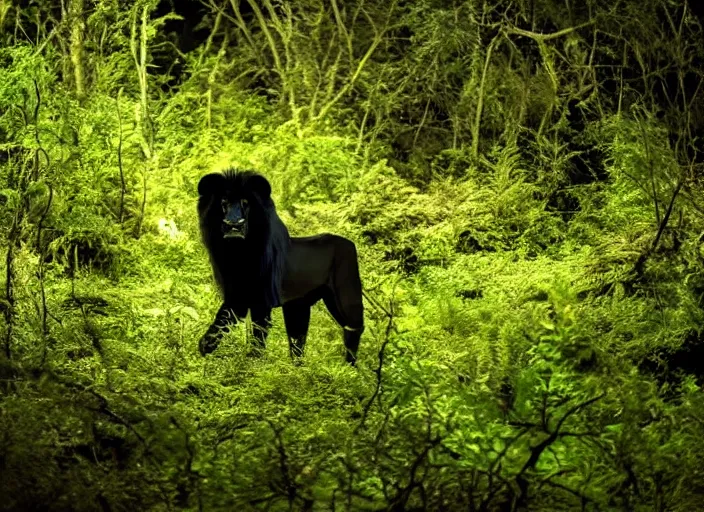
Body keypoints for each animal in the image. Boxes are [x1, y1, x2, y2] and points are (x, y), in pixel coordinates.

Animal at [197, 171, 364, 364]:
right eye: (223, 202)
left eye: (246, 203)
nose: (234, 225)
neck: (237, 253)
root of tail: (350, 243)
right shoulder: (237, 294)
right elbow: (224, 318)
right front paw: (205, 346)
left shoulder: (259, 299)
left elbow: (256, 333)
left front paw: (252, 361)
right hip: (298, 305)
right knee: (298, 341)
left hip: (345, 294)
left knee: (354, 328)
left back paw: (348, 367)